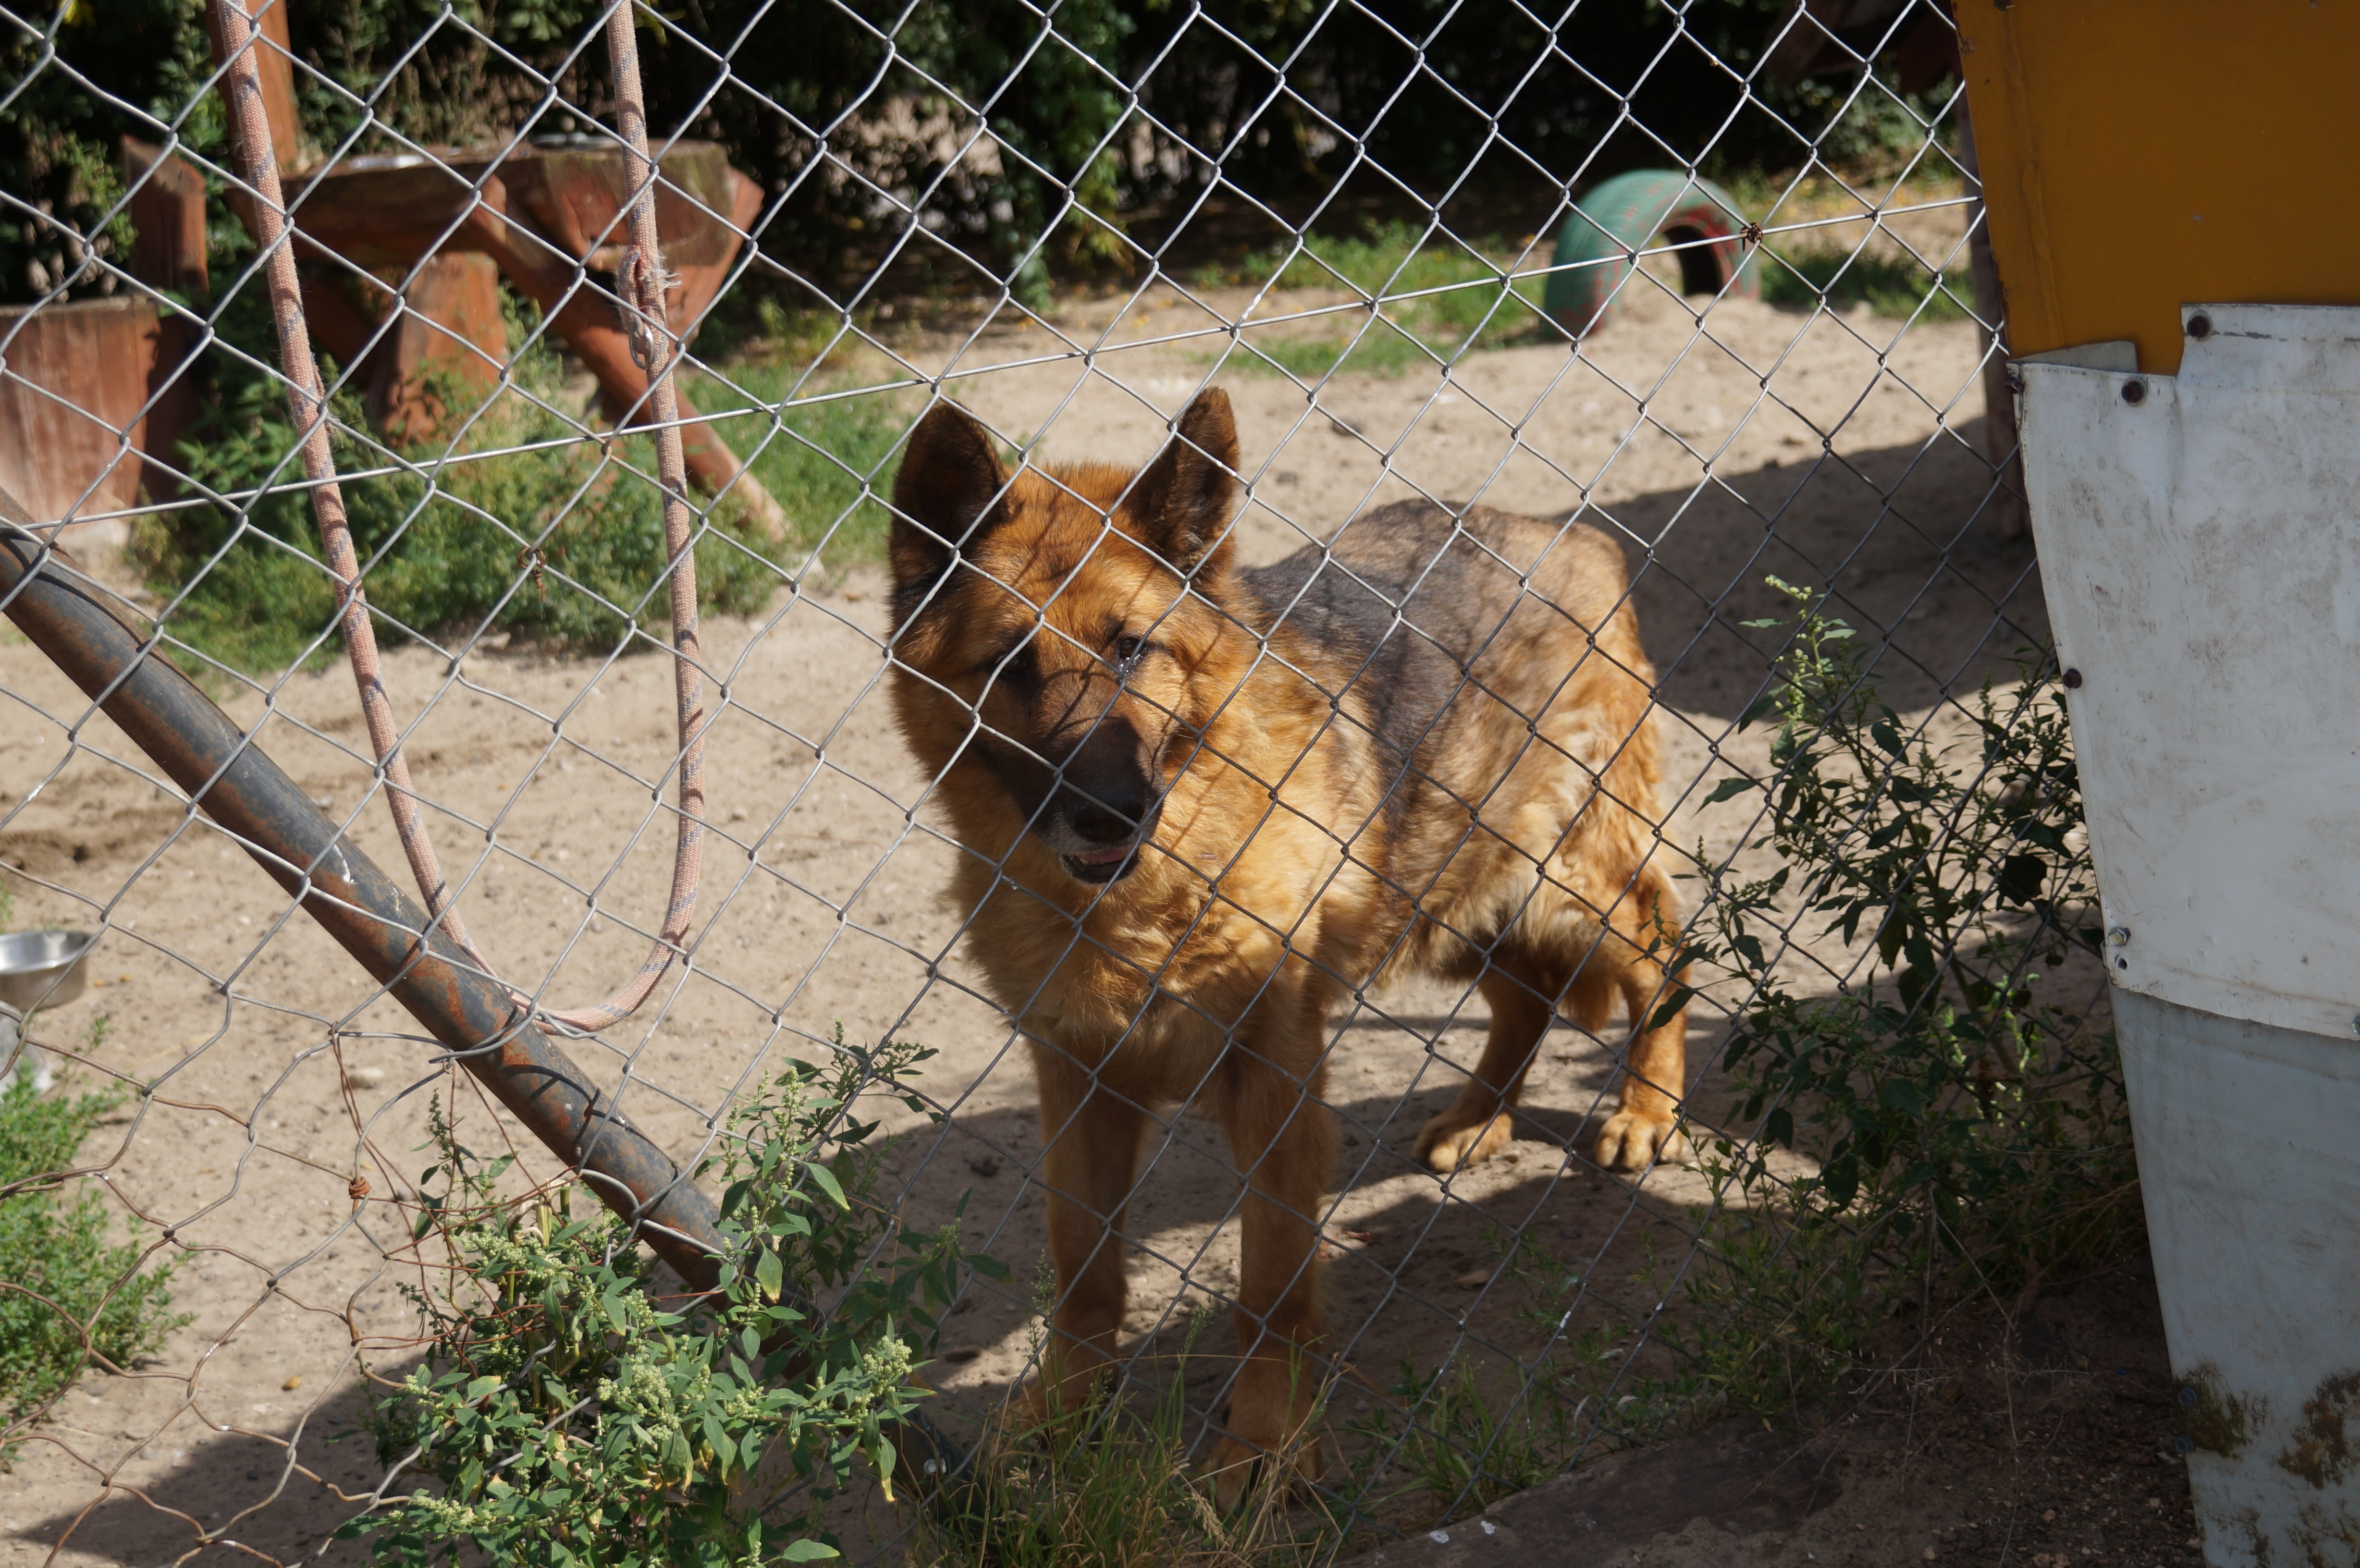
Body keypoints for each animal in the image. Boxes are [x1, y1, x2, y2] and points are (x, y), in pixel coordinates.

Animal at [884, 388, 1686, 1494]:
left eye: (1131, 649)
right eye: (1010, 665)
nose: (1110, 810)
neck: (1150, 898)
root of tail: (1565, 537)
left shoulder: (1274, 1078)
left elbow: (1268, 1284)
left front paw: (1263, 1442)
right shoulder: (1077, 1080)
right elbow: (1083, 1267)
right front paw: (1062, 1413)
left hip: (1565, 879)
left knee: (1661, 949)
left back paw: (1646, 1109)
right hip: (1442, 889)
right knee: (1525, 993)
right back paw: (1479, 1118)